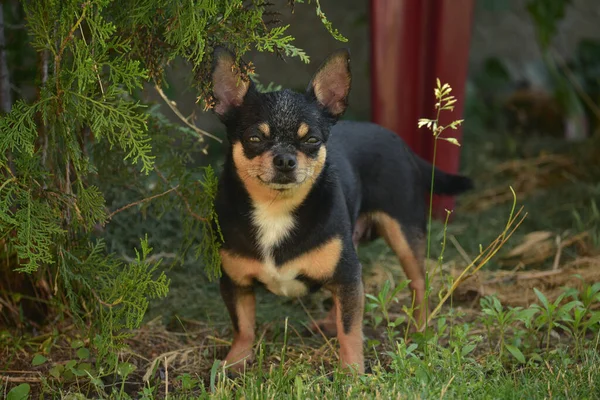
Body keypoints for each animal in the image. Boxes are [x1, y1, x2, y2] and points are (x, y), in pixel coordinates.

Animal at [211, 47, 474, 376]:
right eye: (254, 139)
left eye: (311, 140)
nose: (285, 160)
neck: (275, 209)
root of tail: (400, 143)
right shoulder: (235, 283)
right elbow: (243, 326)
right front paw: (234, 362)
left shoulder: (348, 274)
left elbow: (350, 330)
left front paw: (351, 373)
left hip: (403, 233)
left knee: (418, 284)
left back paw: (421, 330)